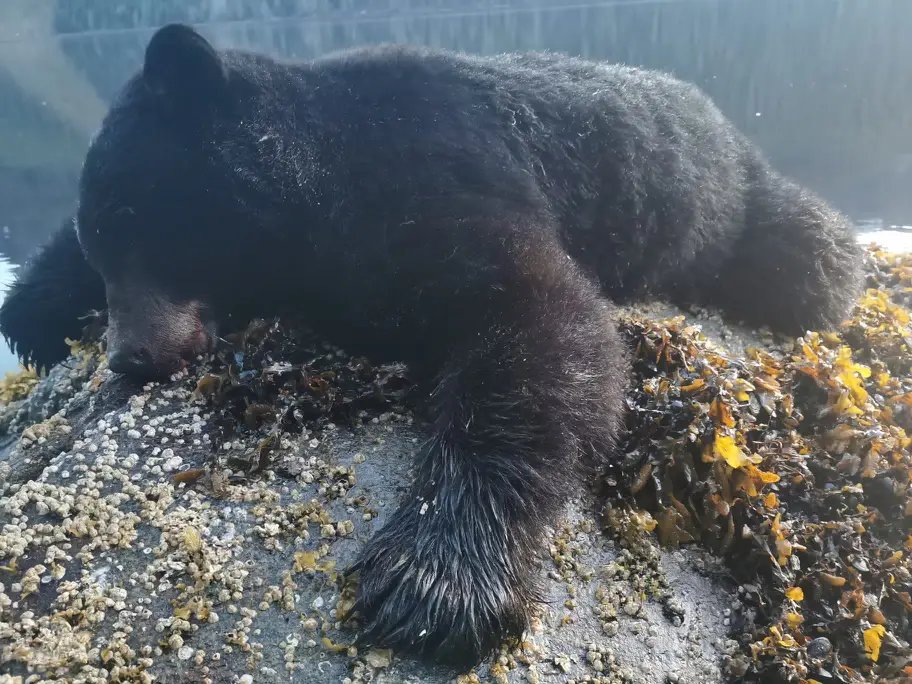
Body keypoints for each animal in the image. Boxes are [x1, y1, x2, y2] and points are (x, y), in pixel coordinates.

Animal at [0, 24, 862, 665]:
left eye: (138, 220)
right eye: (101, 239)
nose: (131, 356)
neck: (322, 171)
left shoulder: (437, 187)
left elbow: (545, 331)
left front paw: (436, 578)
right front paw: (34, 302)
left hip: (740, 209)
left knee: (810, 252)